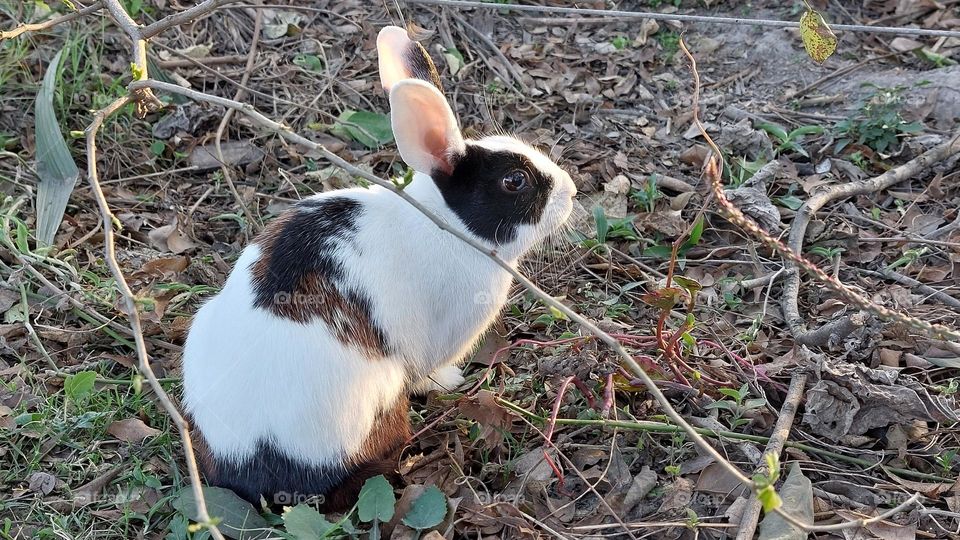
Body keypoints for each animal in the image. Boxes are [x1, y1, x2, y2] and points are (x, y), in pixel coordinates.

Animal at [181, 25, 578, 509]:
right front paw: (451, 380)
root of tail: (261, 456)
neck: (444, 222)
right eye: (515, 181)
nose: (571, 191)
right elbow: (432, 371)